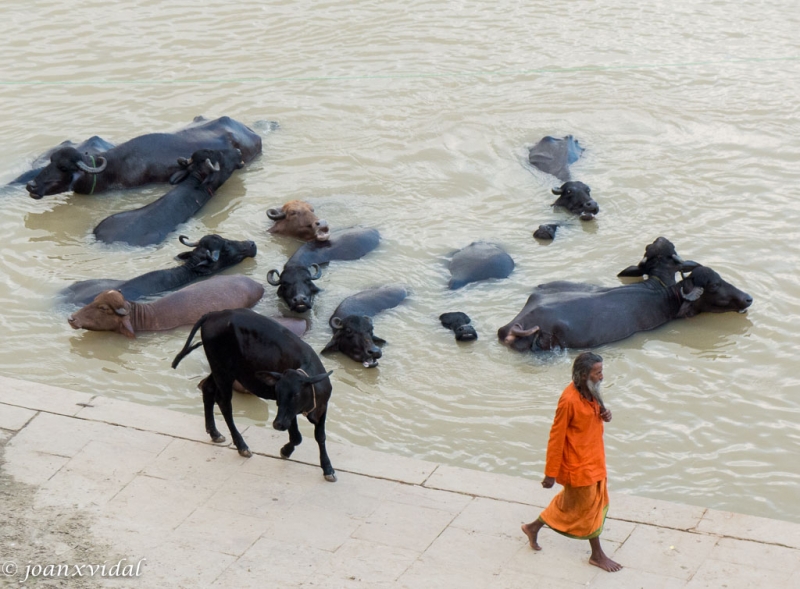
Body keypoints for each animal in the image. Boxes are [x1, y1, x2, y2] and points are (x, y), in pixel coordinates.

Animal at [172, 308, 338, 482]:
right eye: (277, 394)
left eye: (296, 394)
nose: (277, 424)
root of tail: (213, 314)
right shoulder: (289, 413)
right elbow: (297, 437)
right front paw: (285, 451)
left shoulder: (322, 408)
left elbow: (320, 436)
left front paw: (328, 468)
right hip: (222, 370)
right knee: (224, 403)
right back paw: (241, 446)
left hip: (221, 370)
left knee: (207, 388)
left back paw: (215, 433)